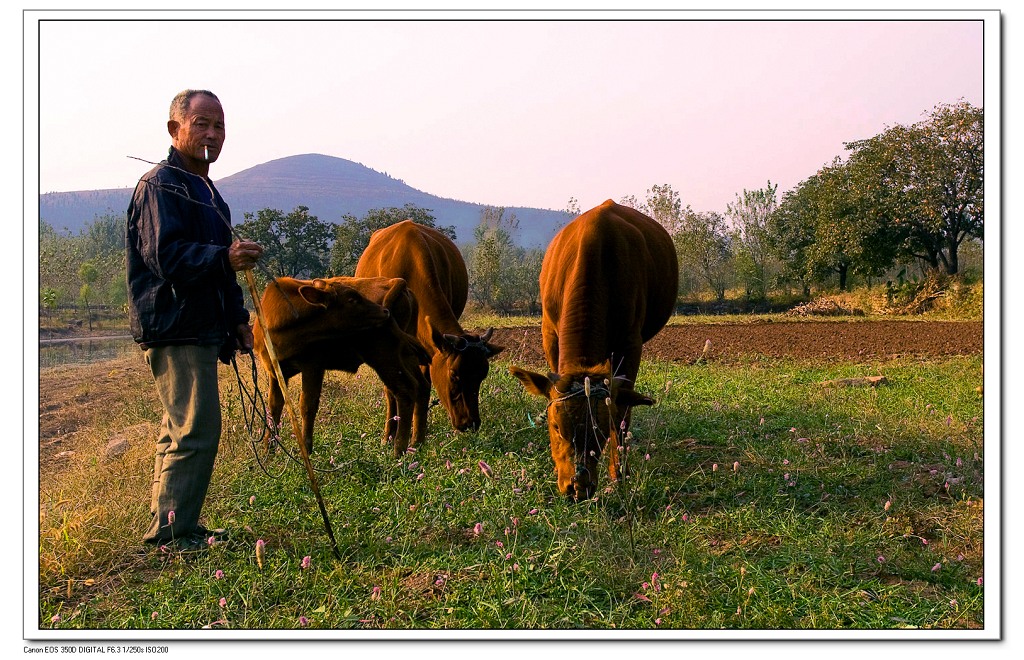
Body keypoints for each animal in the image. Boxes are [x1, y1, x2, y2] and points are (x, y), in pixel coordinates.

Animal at [258, 276, 434, 456]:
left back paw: (399, 450)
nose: (385, 311)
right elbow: (274, 407)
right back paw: (416, 442)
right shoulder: (276, 371)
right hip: (406, 354)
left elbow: (307, 406)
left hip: (385, 356)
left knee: (405, 389)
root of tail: (394, 282)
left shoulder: (313, 366)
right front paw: (268, 450)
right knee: (421, 385)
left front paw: (306, 449)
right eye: (351, 300)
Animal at [505, 199, 679, 499]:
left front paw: (619, 473)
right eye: (556, 427)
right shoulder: (549, 332)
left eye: (601, 431)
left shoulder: (630, 344)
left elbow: (622, 413)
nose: (578, 487)